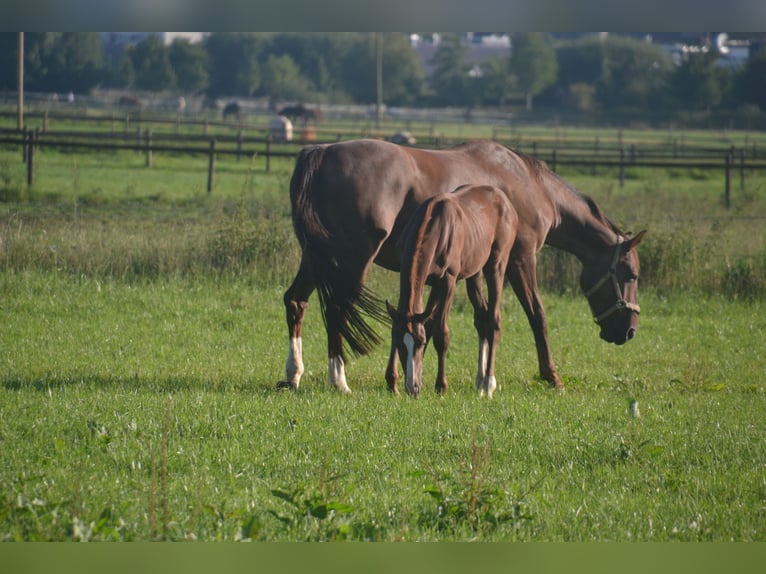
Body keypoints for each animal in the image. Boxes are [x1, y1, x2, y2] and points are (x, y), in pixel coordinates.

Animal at [388, 186, 520, 400]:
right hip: (474, 273)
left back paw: (488, 383)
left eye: (420, 343)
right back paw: (479, 380)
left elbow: (441, 333)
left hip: (496, 264)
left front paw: (441, 386)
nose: (411, 387)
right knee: (481, 318)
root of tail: (505, 200)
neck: (434, 224)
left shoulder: (448, 281)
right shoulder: (428, 282)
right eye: (399, 344)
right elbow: (426, 324)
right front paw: (407, 382)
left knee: (494, 320)